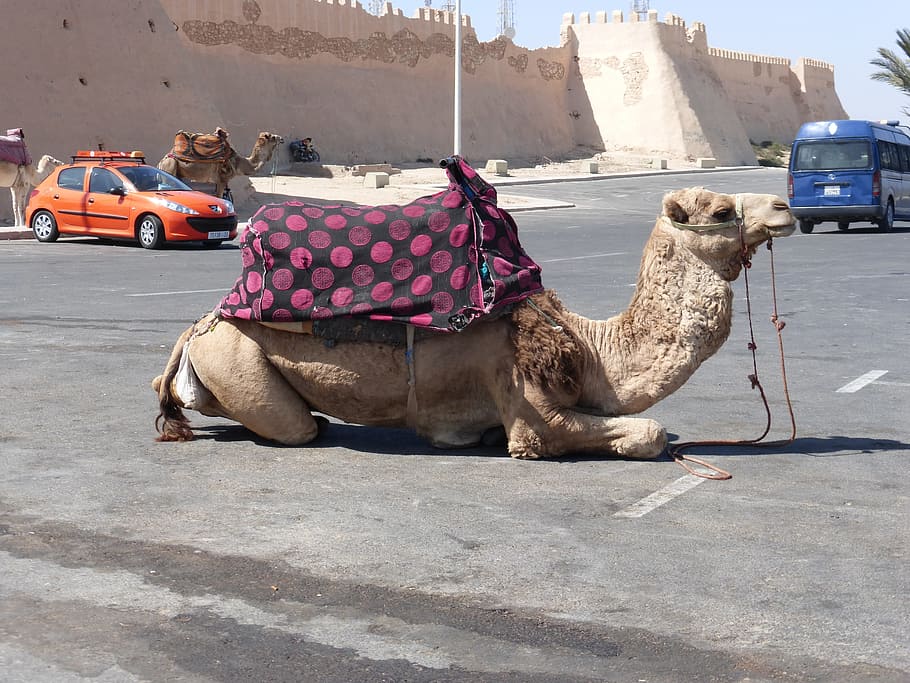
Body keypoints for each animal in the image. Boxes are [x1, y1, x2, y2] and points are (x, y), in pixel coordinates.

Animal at [153, 187, 795, 460]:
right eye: (721, 210)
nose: (785, 207)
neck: (589, 347)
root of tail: (200, 324)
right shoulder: (535, 413)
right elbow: (650, 433)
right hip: (238, 358)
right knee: (296, 428)